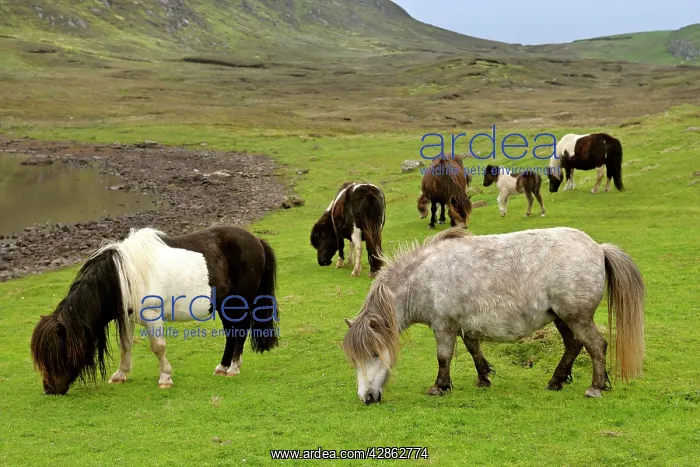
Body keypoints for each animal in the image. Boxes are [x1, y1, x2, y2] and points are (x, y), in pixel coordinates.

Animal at [30, 225, 279, 395]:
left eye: (60, 352)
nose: (50, 388)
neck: (123, 274)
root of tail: (256, 240)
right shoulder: (128, 317)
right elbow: (126, 346)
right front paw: (120, 374)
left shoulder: (152, 314)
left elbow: (158, 347)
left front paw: (165, 378)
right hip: (224, 305)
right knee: (231, 333)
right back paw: (223, 367)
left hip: (237, 304)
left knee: (239, 332)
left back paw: (234, 368)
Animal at [343, 227, 645, 405]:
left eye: (374, 354)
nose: (366, 397)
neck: (424, 277)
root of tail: (598, 248)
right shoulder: (465, 326)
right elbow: (474, 350)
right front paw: (483, 378)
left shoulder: (443, 326)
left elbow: (443, 357)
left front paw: (439, 386)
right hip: (562, 318)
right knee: (573, 346)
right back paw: (556, 381)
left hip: (576, 317)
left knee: (596, 345)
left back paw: (595, 387)